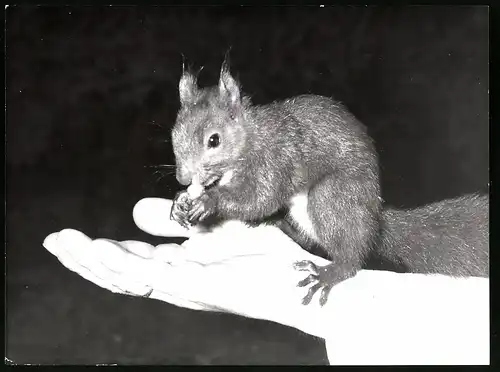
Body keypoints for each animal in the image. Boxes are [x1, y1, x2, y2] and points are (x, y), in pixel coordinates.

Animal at [170, 61, 490, 306]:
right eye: (174, 134)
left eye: (214, 140)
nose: (183, 178)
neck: (252, 136)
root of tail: (375, 221)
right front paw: (179, 202)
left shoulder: (276, 160)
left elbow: (260, 197)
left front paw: (208, 200)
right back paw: (280, 225)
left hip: (333, 197)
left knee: (351, 256)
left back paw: (329, 273)